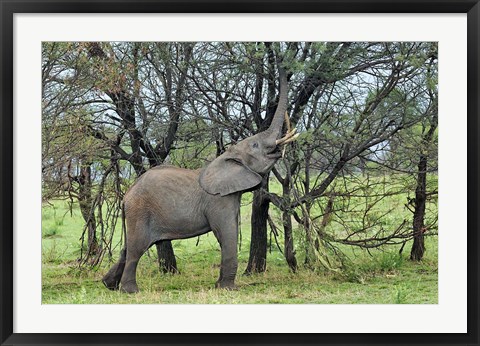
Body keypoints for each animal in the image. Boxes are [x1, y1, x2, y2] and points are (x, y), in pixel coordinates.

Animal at [101, 67, 296, 292]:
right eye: (255, 145)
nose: (283, 68)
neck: (226, 156)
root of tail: (126, 196)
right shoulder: (219, 200)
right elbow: (227, 233)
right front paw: (227, 289)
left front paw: (219, 285)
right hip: (140, 211)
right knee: (136, 249)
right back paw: (130, 291)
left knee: (128, 249)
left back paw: (108, 285)